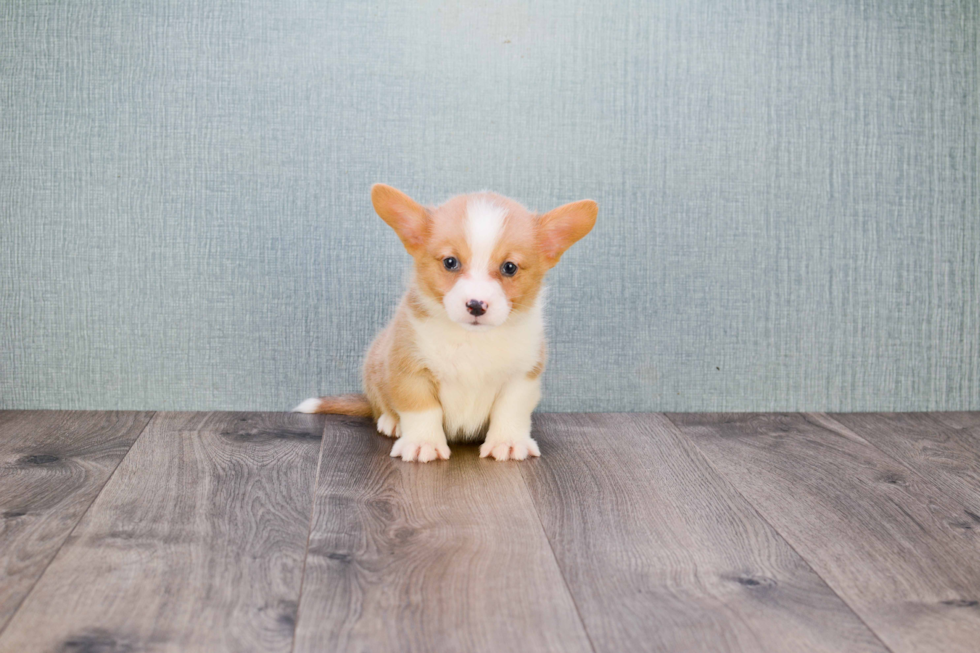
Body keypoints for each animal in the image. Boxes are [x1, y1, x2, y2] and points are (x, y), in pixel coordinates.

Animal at [292, 181, 596, 460]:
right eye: (450, 262)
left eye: (509, 267)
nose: (476, 305)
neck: (473, 340)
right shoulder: (410, 370)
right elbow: (422, 410)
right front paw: (422, 444)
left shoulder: (522, 376)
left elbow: (510, 410)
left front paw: (507, 443)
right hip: (373, 368)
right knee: (380, 406)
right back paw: (392, 422)